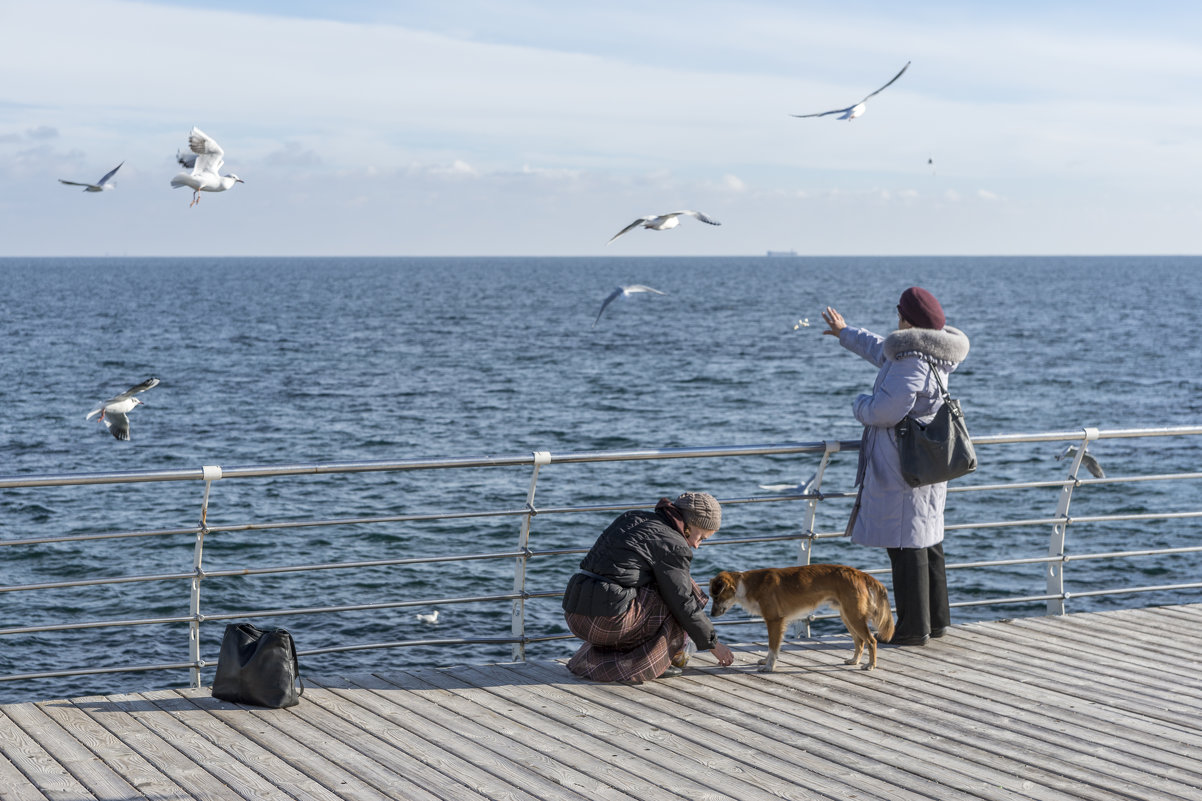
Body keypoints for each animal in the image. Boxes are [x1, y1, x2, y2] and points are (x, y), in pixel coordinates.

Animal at [711, 565, 894, 668]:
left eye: (717, 597)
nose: (711, 614)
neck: (745, 585)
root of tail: (859, 574)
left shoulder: (774, 620)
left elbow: (772, 647)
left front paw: (769, 666)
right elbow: (772, 647)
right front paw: (765, 661)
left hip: (853, 616)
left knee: (871, 641)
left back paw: (870, 665)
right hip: (847, 615)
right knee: (860, 641)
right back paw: (854, 661)